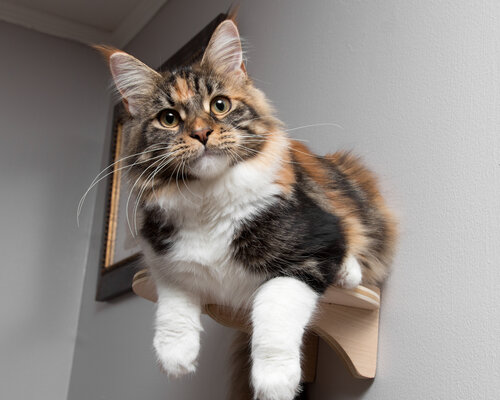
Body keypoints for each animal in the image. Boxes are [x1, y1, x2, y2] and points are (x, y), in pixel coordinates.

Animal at [95, 14, 396, 400]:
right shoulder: (162, 258)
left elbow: (275, 307)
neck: (208, 201)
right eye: (169, 118)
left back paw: (348, 273)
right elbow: (174, 296)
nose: (201, 133)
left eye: (219, 105)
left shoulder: (310, 250)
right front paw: (175, 355)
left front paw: (275, 381)